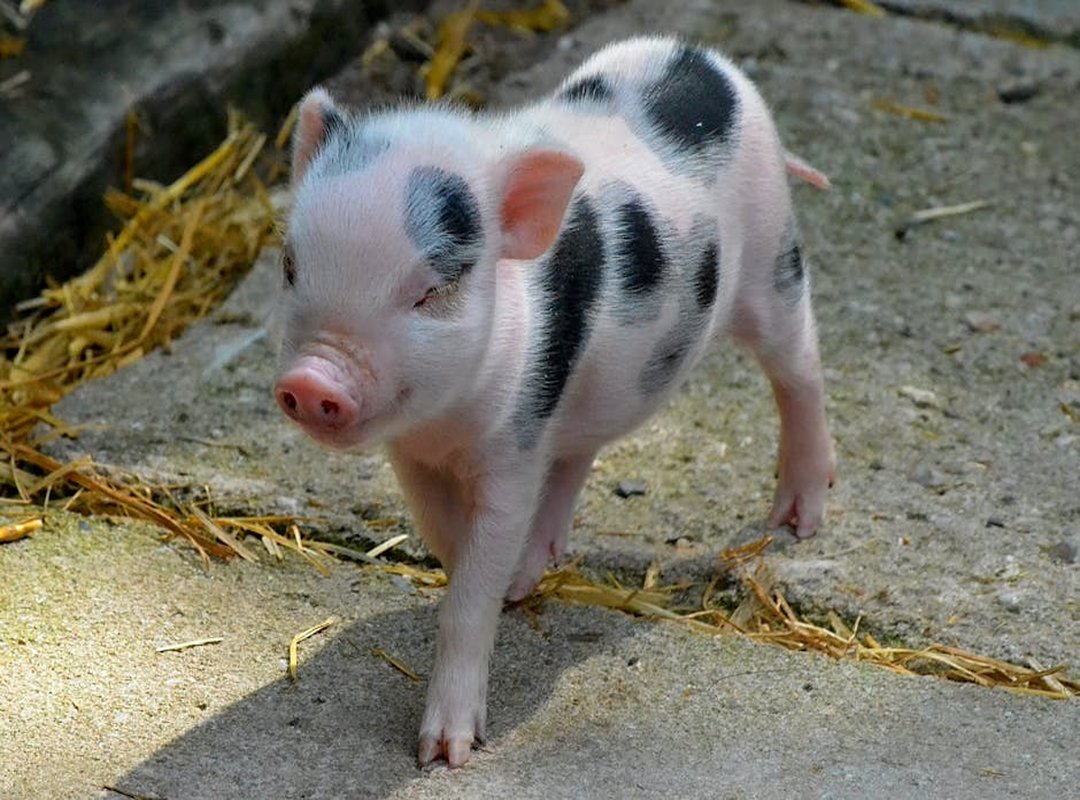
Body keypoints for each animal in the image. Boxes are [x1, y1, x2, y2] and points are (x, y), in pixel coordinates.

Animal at [274, 35, 836, 768]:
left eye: (431, 290)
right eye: (290, 267)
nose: (312, 380)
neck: (445, 423)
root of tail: (701, 56)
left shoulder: (513, 447)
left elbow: (471, 588)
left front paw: (443, 755)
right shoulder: (417, 453)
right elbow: (445, 536)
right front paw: (507, 580)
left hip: (774, 257)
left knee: (800, 368)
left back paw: (797, 521)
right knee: (578, 452)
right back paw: (536, 562)